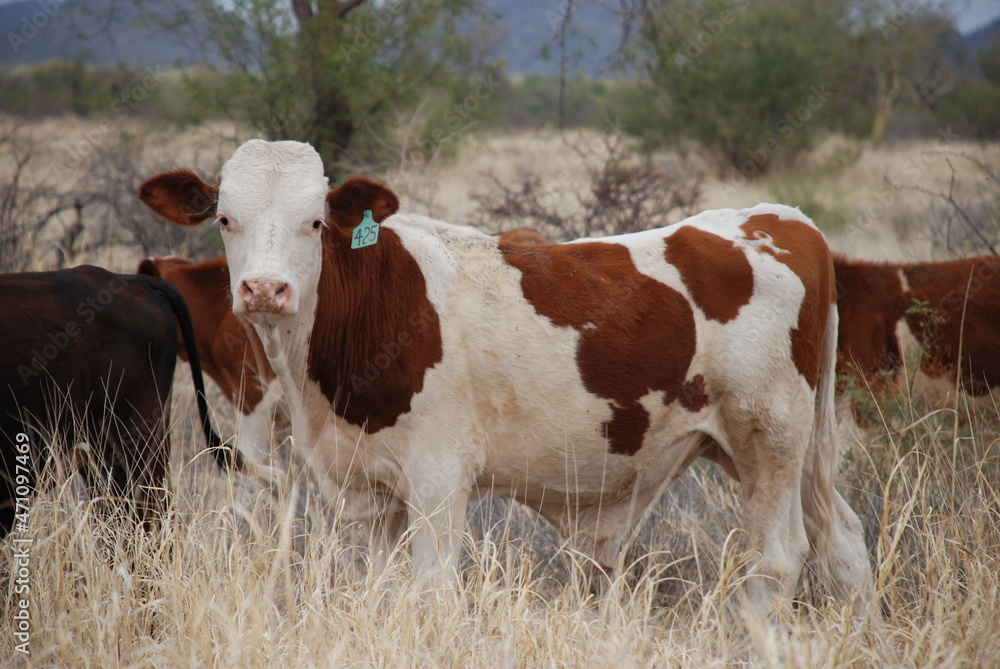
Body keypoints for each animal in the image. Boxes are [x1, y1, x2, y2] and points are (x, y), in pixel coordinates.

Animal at [141, 141, 876, 628]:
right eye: (225, 218)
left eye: (314, 220)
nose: (264, 289)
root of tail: (782, 219)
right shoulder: (370, 491)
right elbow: (381, 591)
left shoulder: (439, 481)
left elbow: (432, 591)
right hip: (782, 450)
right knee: (842, 540)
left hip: (768, 438)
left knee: (777, 560)